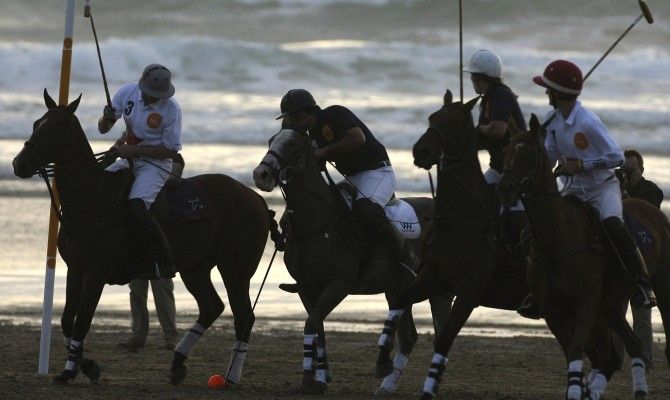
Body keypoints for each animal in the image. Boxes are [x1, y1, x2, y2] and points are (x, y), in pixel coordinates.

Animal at [11, 91, 272, 388]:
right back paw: (178, 364)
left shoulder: (96, 273)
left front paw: (71, 370)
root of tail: (257, 199)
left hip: (236, 269)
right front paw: (85, 366)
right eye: (36, 123)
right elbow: (67, 320)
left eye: (54, 128)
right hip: (196, 267)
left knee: (244, 316)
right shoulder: (75, 270)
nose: (18, 164)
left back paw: (230, 377)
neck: (92, 200)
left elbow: (81, 322)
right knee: (211, 306)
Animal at [253, 127, 456, 394]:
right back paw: (386, 386)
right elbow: (317, 328)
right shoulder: (306, 288)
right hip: (397, 290)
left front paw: (310, 379)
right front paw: (318, 378)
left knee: (439, 334)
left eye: (293, 143)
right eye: (270, 141)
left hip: (440, 292)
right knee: (409, 336)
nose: (261, 174)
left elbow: (312, 323)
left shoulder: (339, 285)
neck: (319, 225)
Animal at [498, 114, 670, 398]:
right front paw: (580, 390)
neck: (556, 238)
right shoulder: (553, 309)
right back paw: (636, 390)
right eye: (507, 152)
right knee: (628, 347)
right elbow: (573, 353)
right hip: (611, 305)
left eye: (530, 154)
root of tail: (654, 210)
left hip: (659, 288)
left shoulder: (585, 304)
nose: (505, 188)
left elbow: (578, 351)